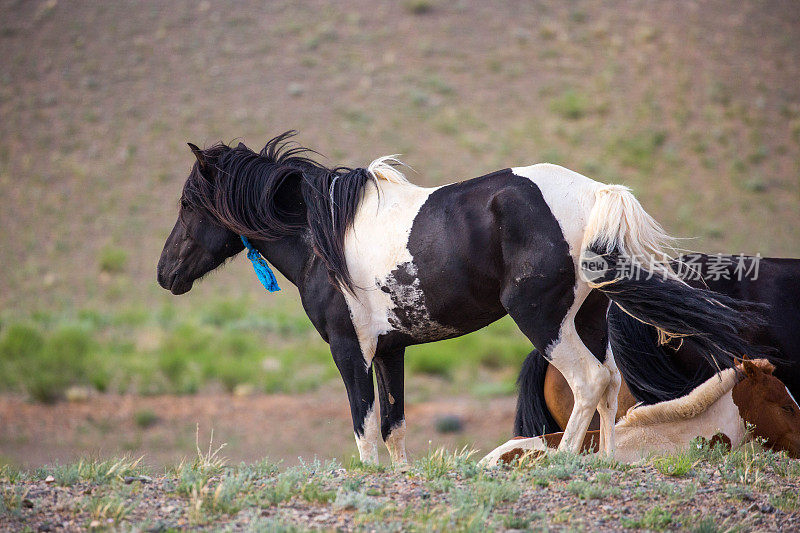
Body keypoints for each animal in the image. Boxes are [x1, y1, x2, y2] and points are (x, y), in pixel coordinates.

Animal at [158, 132, 764, 462]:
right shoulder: (391, 351)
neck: (322, 236)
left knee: (589, 382)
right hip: (589, 320)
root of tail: (596, 195)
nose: (166, 274)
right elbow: (395, 427)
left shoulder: (349, 350)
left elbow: (363, 429)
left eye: (188, 203)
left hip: (543, 321)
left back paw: (564, 464)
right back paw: (605, 466)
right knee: (611, 386)